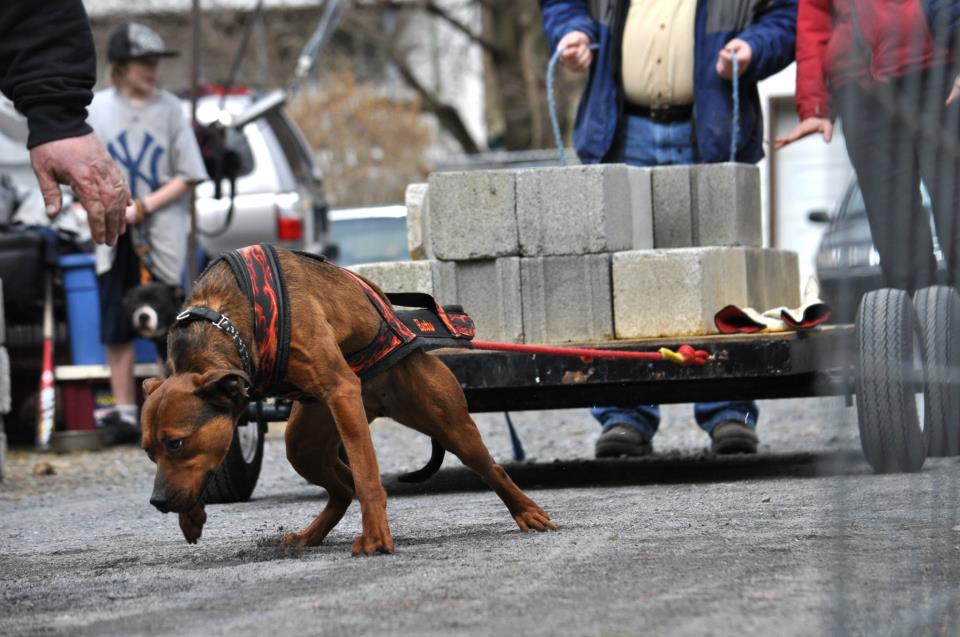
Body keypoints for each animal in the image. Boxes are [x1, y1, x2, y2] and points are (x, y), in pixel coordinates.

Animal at [138, 246, 552, 556]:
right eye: (149, 453)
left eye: (176, 444)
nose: (156, 501)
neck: (223, 321)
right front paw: (190, 515)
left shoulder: (340, 388)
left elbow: (368, 477)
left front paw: (376, 538)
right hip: (304, 442)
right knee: (342, 489)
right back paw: (309, 535)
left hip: (446, 423)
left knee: (489, 468)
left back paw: (527, 511)